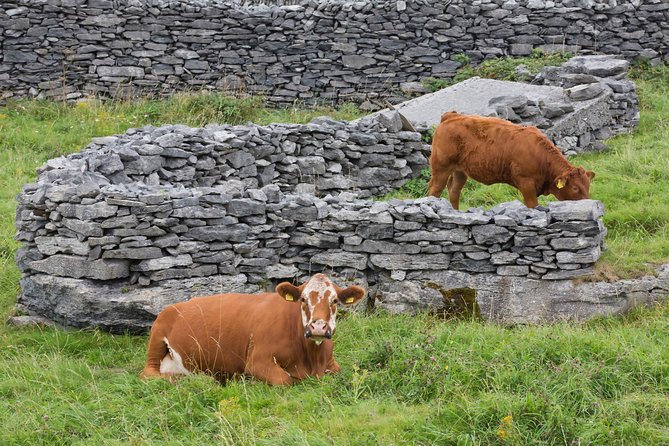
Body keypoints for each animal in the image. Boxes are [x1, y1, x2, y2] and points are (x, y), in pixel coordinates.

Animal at [140, 274, 366, 386]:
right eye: (303, 299)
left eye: (334, 300)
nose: (318, 326)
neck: (311, 359)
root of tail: (174, 306)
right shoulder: (257, 361)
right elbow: (284, 380)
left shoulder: (331, 364)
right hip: (157, 337)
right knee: (148, 373)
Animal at [426, 111, 592, 209]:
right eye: (575, 188)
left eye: (587, 185)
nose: (589, 202)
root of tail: (452, 115)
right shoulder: (526, 184)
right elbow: (532, 206)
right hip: (440, 168)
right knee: (434, 191)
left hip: (460, 171)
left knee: (454, 191)